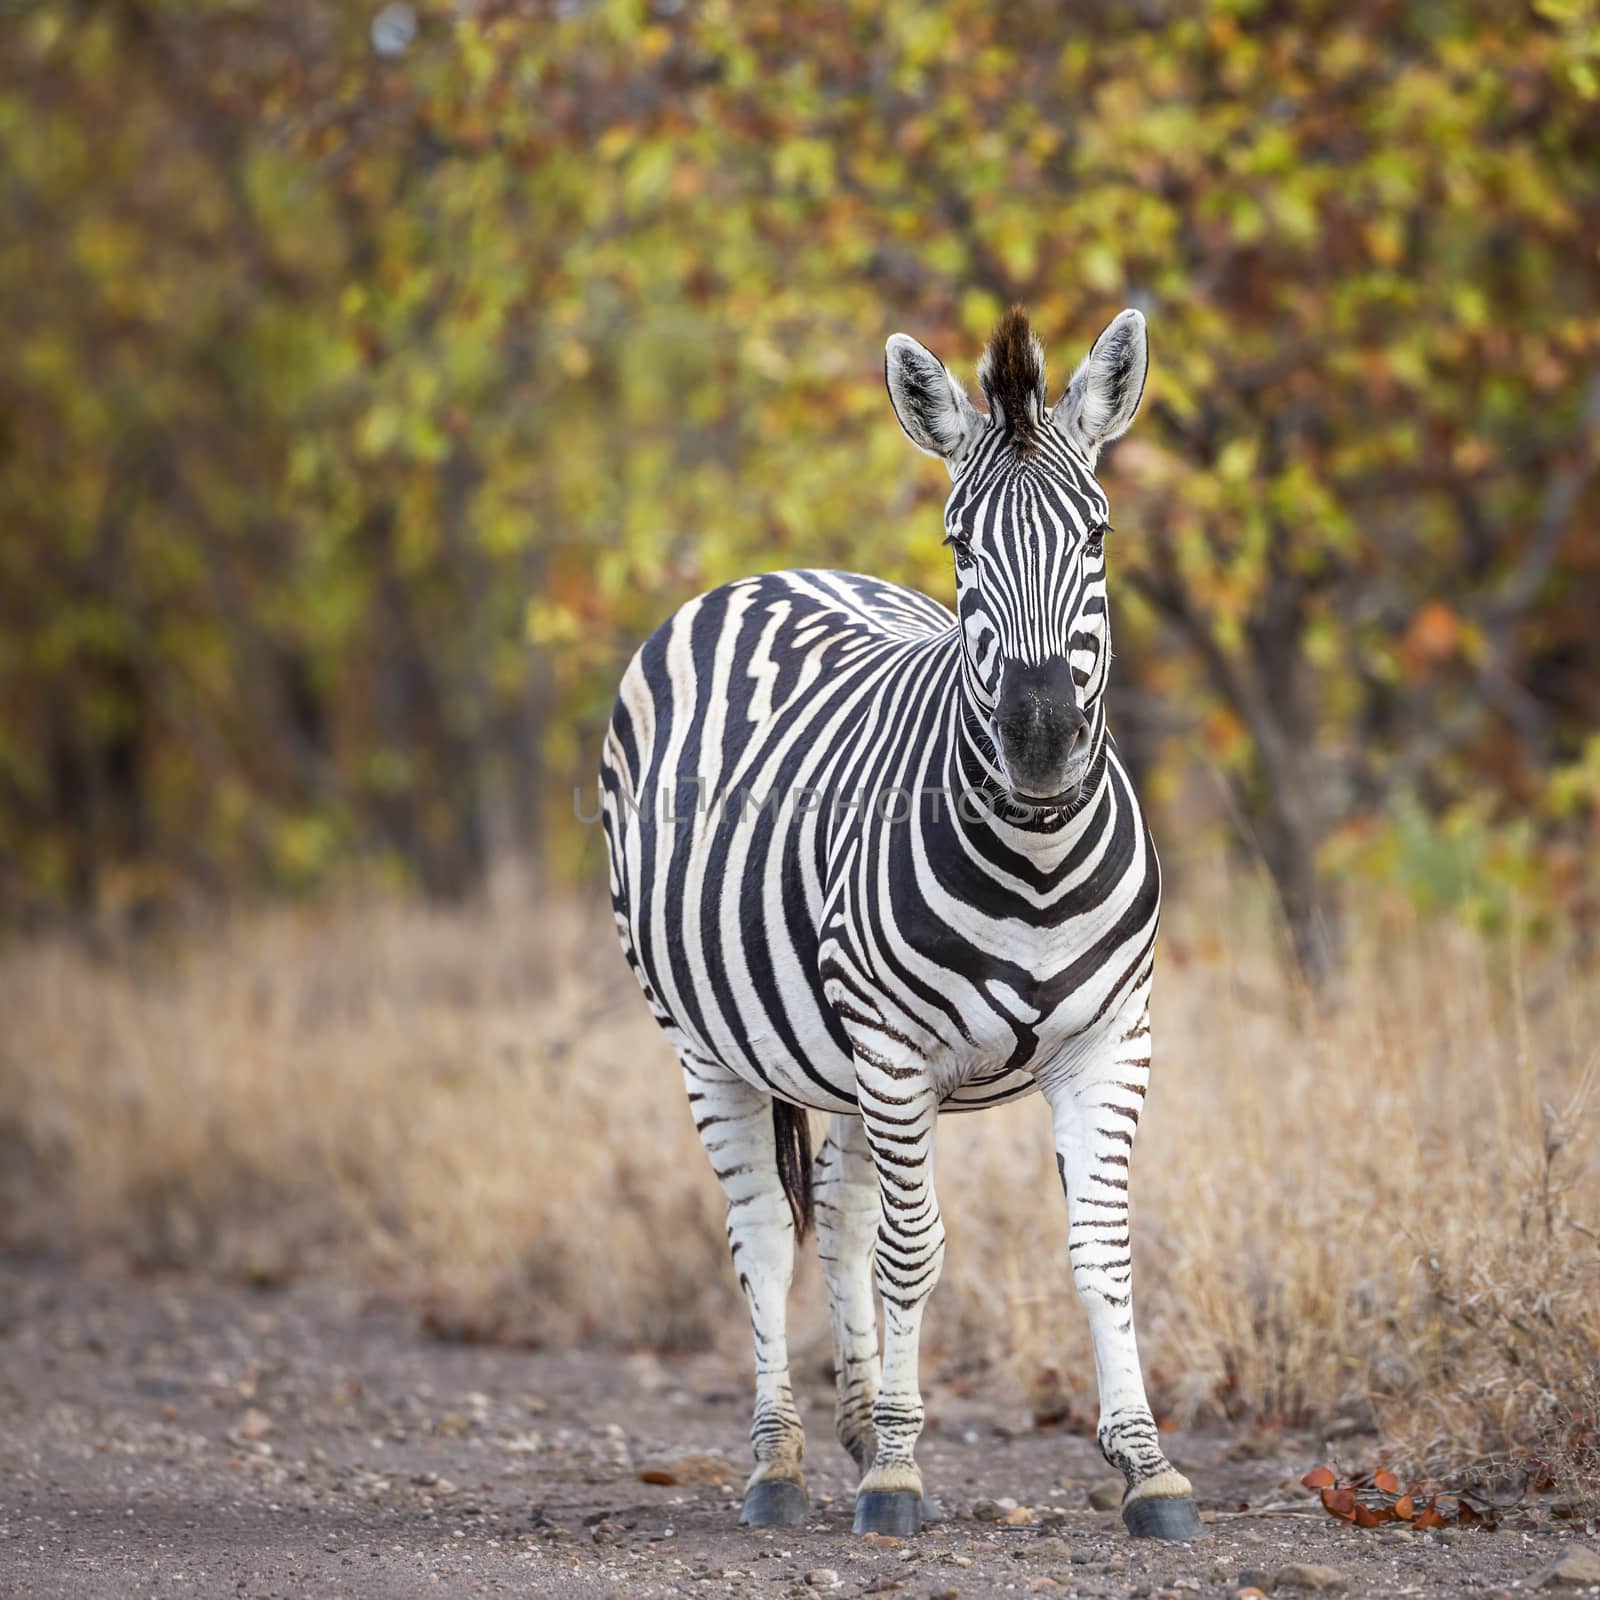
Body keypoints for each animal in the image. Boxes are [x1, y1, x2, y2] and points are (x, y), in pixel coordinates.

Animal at [601, 305, 1203, 1542]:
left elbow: (1101, 1251)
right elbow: (913, 1251)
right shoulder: (891, 1043)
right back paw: (782, 1461)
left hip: (831, 1054)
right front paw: (895, 1474)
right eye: (959, 546)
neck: (1035, 856)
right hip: (709, 1042)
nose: (1039, 740)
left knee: (834, 1208)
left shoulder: (1109, 1042)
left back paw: (853, 1417)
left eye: (1098, 536)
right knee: (763, 1231)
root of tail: (770, 572)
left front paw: (1145, 1465)